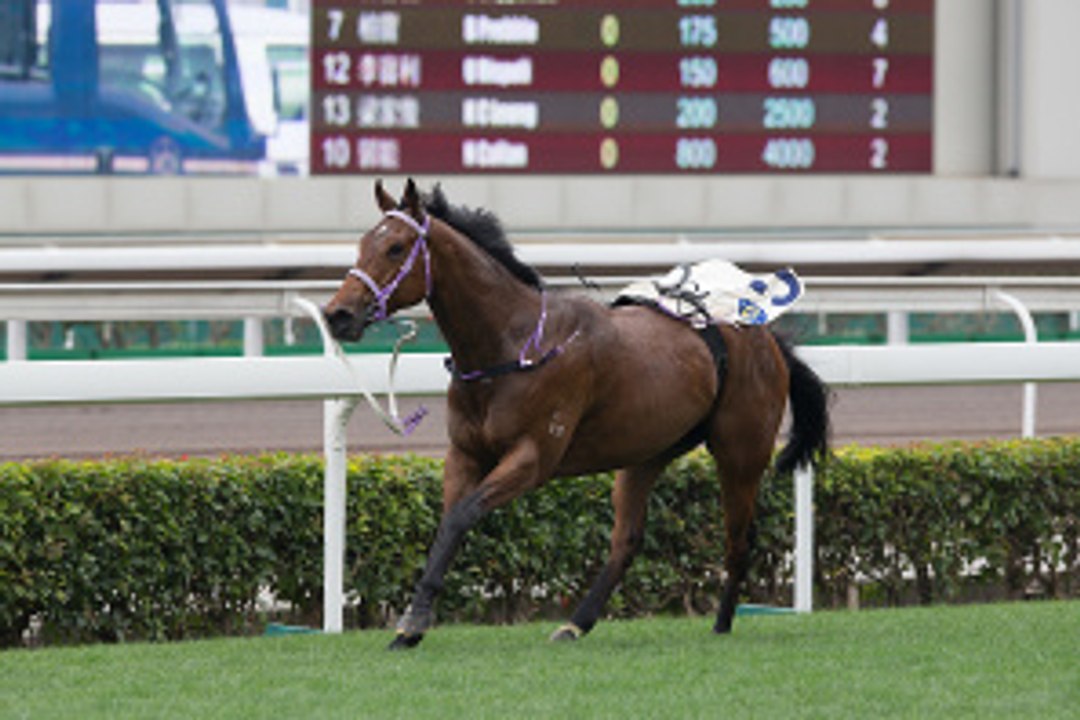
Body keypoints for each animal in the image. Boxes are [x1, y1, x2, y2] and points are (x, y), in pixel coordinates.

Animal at [324, 179, 830, 650]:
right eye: (362, 244)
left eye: (395, 247)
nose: (337, 314)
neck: (514, 344)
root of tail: (767, 338)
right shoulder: (465, 453)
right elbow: (447, 524)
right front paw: (410, 626)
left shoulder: (533, 457)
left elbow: (461, 517)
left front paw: (413, 621)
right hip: (647, 452)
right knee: (626, 540)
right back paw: (575, 623)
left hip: (740, 451)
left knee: (738, 539)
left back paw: (722, 624)